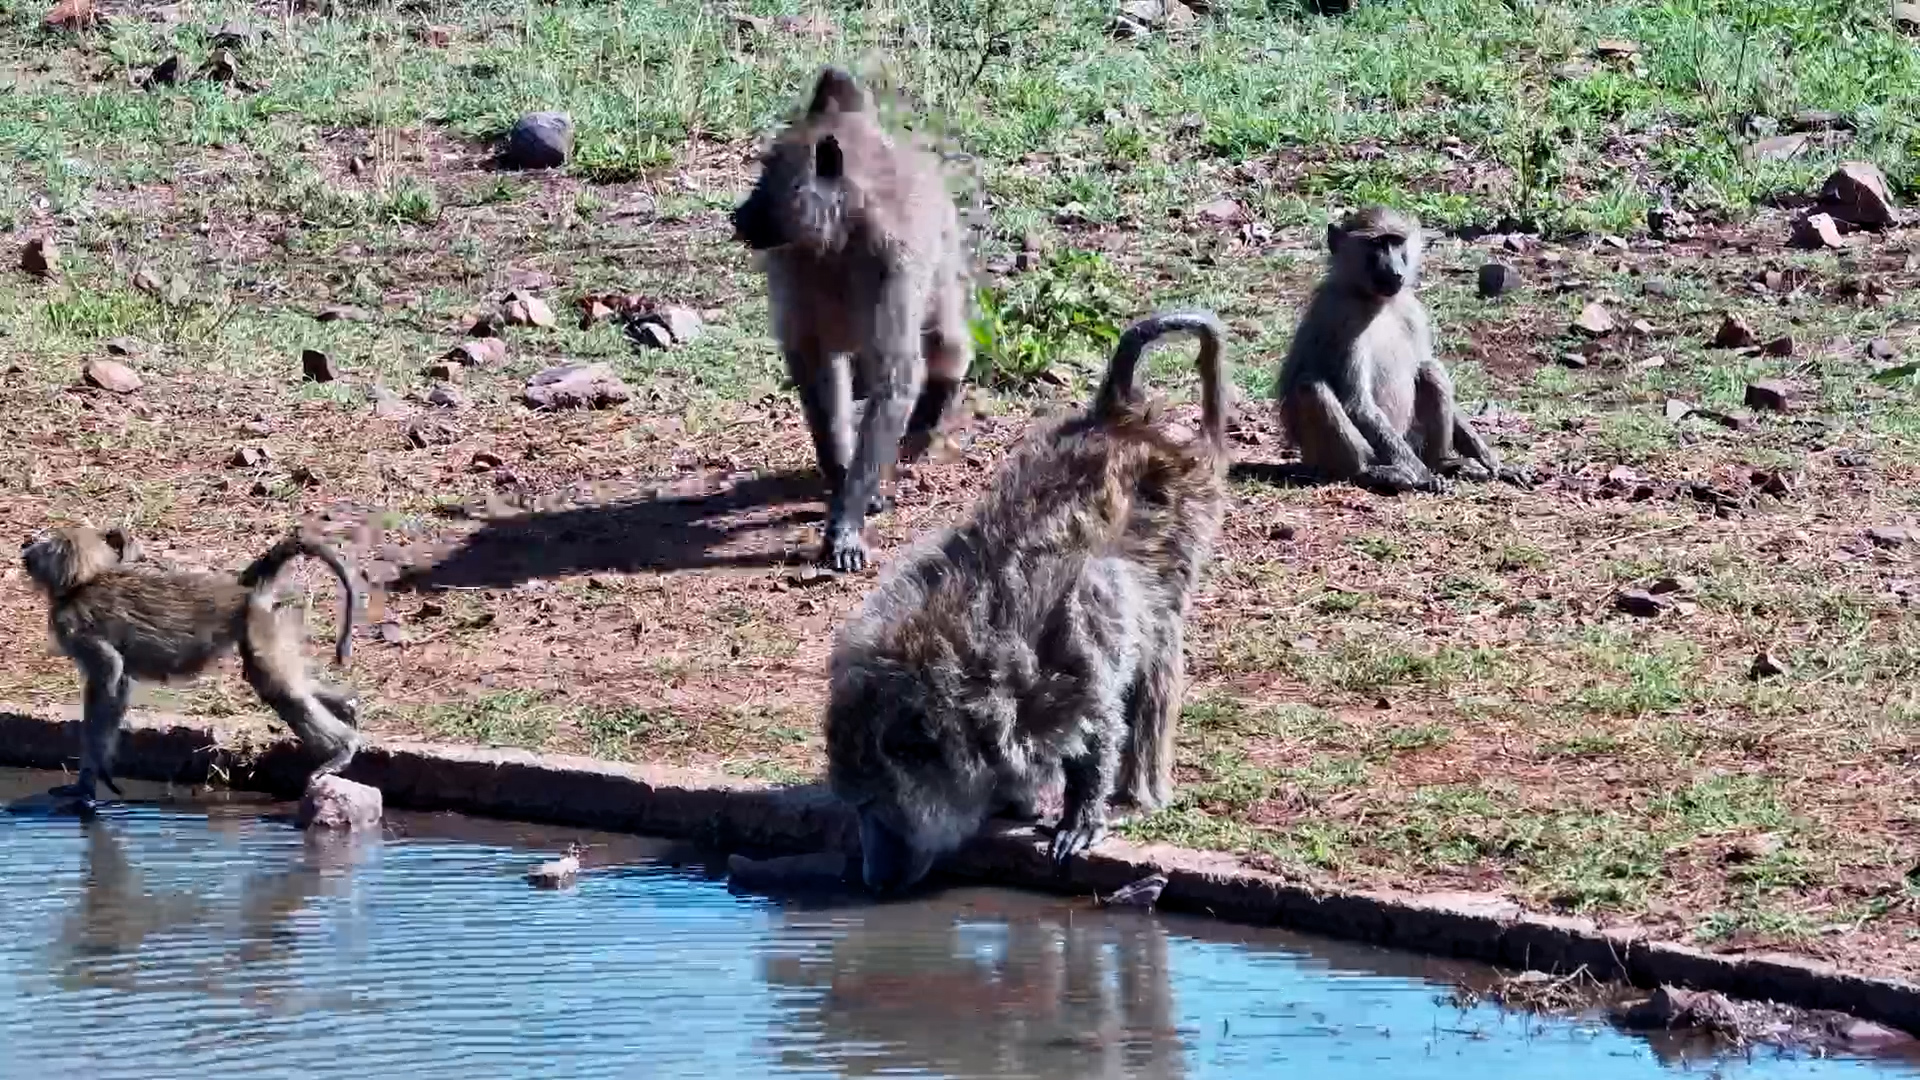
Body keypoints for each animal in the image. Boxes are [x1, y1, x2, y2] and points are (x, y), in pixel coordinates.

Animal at [19, 525, 363, 806]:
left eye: (45, 544)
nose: (26, 547)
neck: (84, 579)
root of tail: (245, 591)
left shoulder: (72, 623)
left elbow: (109, 672)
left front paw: (91, 780)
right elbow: (120, 684)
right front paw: (89, 782)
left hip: (259, 622)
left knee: (277, 686)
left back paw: (343, 749)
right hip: (270, 622)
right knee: (282, 682)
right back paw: (347, 705)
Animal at [731, 66, 974, 573]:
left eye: (767, 176)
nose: (739, 216)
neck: (838, 239)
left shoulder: (891, 263)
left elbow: (895, 377)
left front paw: (848, 520)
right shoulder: (791, 262)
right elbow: (815, 366)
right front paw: (843, 483)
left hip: (944, 248)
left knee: (944, 343)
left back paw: (934, 405)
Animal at [825, 311, 1229, 893]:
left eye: (873, 804)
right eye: (856, 806)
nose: (871, 877)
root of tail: (1119, 422)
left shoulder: (1070, 644)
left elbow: (1098, 718)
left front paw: (1081, 814)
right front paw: (1015, 800)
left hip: (1184, 526)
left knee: (1156, 651)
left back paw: (1139, 791)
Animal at [1276, 205, 1523, 493]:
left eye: (1396, 242)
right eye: (1377, 244)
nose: (1395, 271)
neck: (1376, 301)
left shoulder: (1412, 310)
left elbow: (1424, 364)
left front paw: (1495, 463)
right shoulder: (1342, 318)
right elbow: (1357, 403)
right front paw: (1424, 476)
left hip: (1409, 435)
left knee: (1430, 370)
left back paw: (1444, 463)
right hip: (1323, 457)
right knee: (1310, 388)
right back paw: (1373, 472)